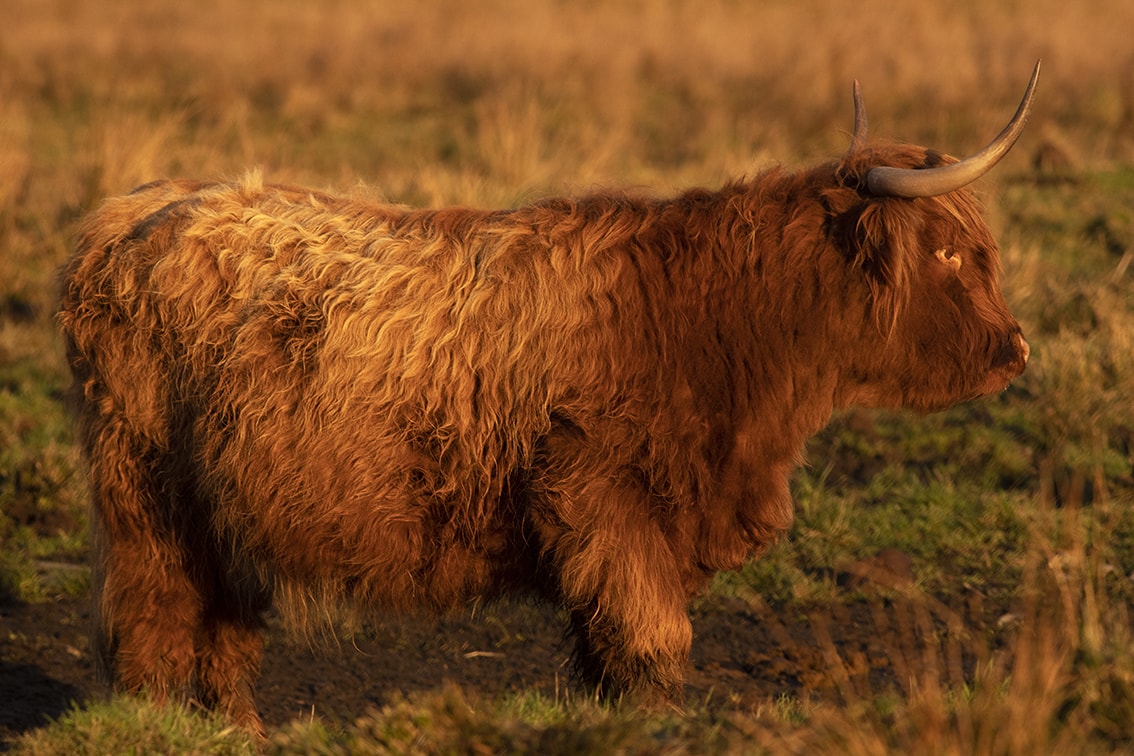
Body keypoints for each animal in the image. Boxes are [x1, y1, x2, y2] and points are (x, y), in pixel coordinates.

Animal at [59, 66, 1038, 734]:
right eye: (950, 256)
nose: (1017, 350)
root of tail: (135, 212)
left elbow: (609, 650)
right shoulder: (605, 503)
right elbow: (652, 640)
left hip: (223, 509)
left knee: (219, 622)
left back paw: (241, 728)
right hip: (147, 494)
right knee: (151, 620)